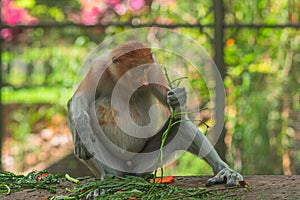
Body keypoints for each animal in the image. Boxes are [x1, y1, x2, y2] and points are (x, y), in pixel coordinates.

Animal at [67, 40, 243, 188]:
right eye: (136, 70)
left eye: (146, 69)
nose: (143, 81)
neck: (118, 78)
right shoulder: (97, 69)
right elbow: (77, 100)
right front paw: (82, 132)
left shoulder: (155, 67)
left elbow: (173, 107)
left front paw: (178, 97)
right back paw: (110, 177)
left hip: (143, 163)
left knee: (180, 124)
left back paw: (224, 171)